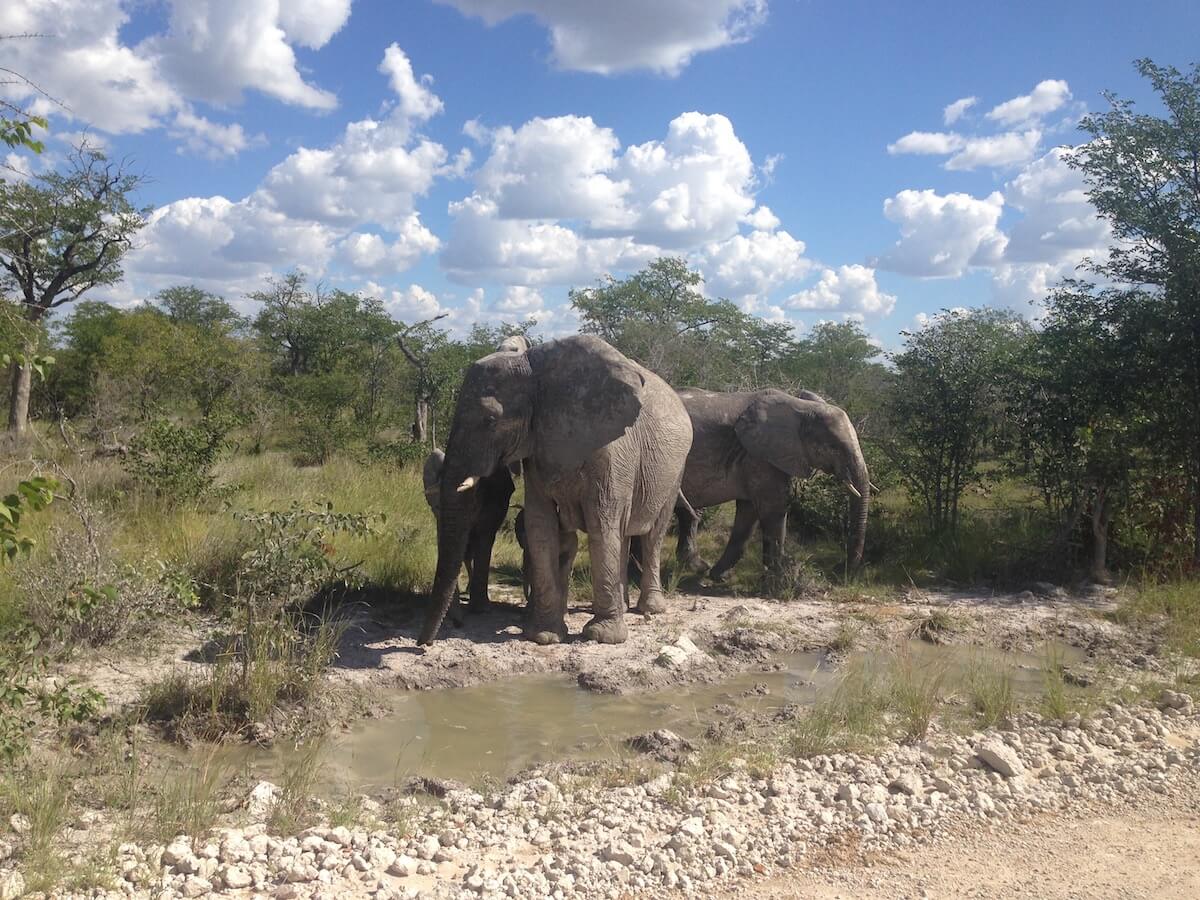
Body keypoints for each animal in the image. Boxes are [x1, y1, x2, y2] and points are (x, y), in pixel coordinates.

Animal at [672, 388, 868, 578]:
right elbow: (774, 508)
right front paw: (778, 577)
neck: (803, 407)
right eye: (834, 448)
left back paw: (697, 568)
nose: (836, 569)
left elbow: (748, 513)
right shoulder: (760, 456)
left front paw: (719, 576)